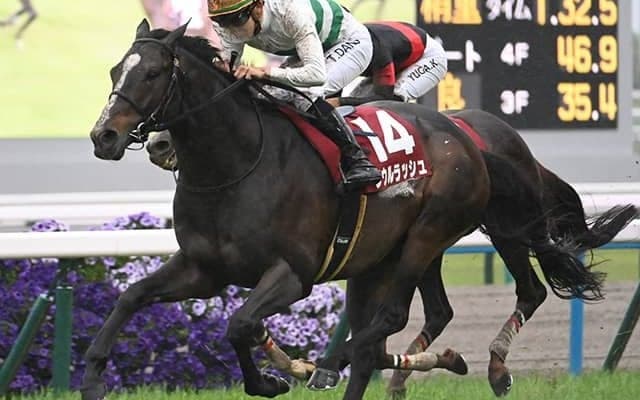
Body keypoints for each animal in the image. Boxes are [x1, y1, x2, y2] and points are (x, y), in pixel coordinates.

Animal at [86, 20, 495, 400]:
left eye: (153, 73)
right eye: (115, 71)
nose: (103, 136)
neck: (234, 168)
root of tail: (459, 133)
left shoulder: (294, 273)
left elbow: (240, 323)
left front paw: (270, 380)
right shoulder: (203, 269)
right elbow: (132, 295)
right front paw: (93, 375)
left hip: (427, 235)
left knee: (388, 322)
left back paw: (328, 364)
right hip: (383, 256)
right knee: (400, 329)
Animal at [146, 111, 638, 396]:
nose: (158, 144)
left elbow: (371, 335)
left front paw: (313, 366)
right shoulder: (363, 260)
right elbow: (371, 337)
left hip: (490, 230)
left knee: (529, 291)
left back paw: (494, 368)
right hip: (432, 244)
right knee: (438, 311)